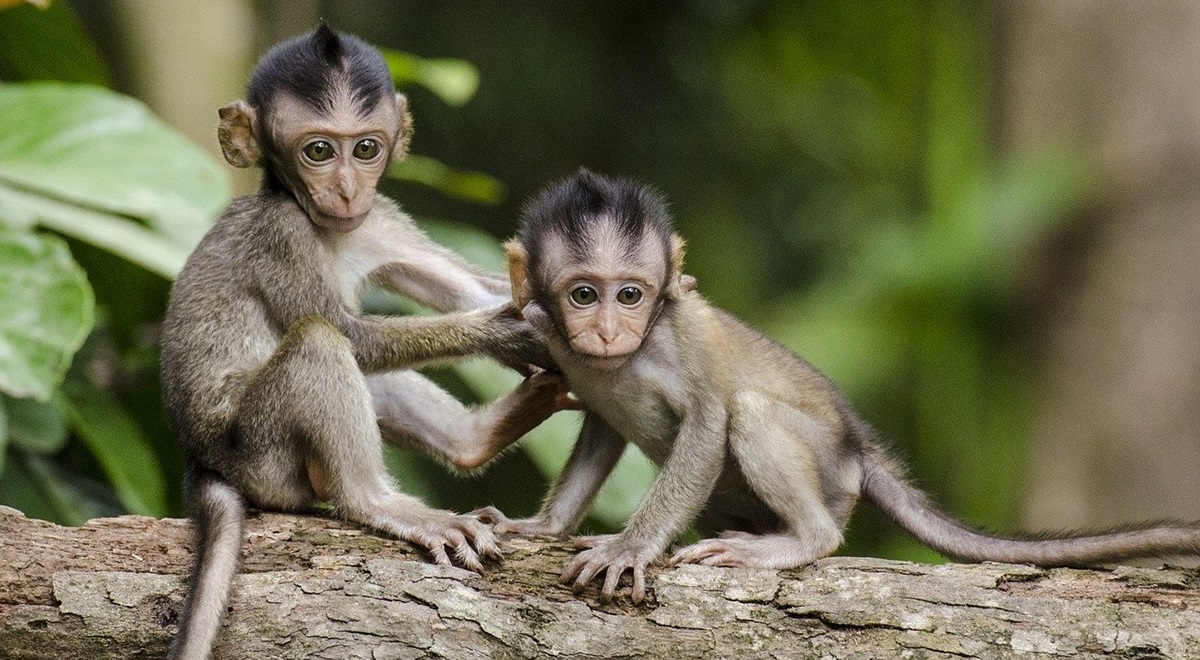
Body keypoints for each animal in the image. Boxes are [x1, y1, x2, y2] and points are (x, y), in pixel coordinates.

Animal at [159, 24, 561, 660]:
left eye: (365, 149)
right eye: (318, 151)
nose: (347, 190)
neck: (327, 227)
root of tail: (201, 459)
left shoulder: (381, 220)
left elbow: (470, 287)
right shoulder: (282, 234)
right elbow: (351, 334)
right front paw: (505, 332)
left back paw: (476, 439)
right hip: (262, 455)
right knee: (320, 342)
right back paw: (377, 502)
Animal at [472, 169, 1200, 604]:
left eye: (630, 294)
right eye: (583, 294)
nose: (606, 331)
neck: (621, 359)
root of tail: (858, 449)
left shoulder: (679, 336)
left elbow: (708, 422)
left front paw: (629, 547)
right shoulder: (557, 344)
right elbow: (599, 429)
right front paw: (542, 527)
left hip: (830, 471)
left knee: (752, 413)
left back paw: (803, 540)